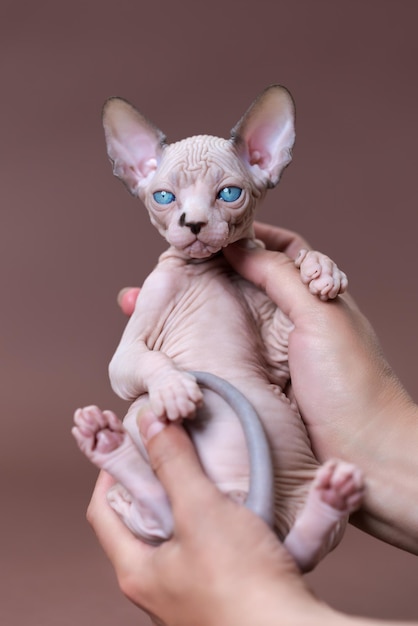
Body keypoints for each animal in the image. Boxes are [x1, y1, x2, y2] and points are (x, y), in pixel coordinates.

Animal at [73, 86, 364, 572]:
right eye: (164, 197)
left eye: (228, 193)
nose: (192, 223)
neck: (210, 267)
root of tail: (242, 503)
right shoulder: (130, 345)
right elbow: (145, 360)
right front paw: (174, 388)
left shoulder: (276, 342)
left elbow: (295, 299)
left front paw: (319, 268)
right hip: (138, 422)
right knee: (161, 517)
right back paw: (108, 446)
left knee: (302, 547)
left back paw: (332, 496)